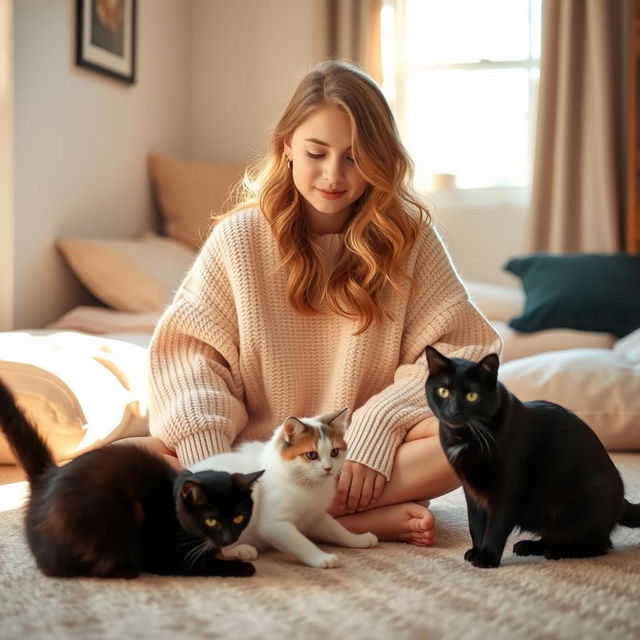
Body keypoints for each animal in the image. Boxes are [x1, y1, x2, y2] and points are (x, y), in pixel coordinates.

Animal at [0, 378, 262, 576]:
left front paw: (235, 550)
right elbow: (201, 564)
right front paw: (240, 566)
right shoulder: (163, 554)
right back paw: (122, 570)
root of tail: (46, 479)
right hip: (111, 511)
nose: (228, 537)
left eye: (239, 518)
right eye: (211, 521)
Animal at [190, 408, 380, 568]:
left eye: (334, 452)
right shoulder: (274, 525)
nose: (328, 468)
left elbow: (336, 529)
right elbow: (301, 543)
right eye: (312, 455)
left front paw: (357, 539)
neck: (308, 485)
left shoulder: (315, 516)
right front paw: (321, 558)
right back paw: (243, 550)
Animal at [424, 344, 640, 568]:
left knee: (599, 546)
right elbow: (476, 524)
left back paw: (557, 551)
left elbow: (495, 528)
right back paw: (529, 546)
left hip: (578, 509)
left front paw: (487, 558)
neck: (465, 437)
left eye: (472, 396)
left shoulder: (507, 492)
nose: (453, 411)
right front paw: (476, 551)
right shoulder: (472, 492)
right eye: (443, 391)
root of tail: (621, 501)